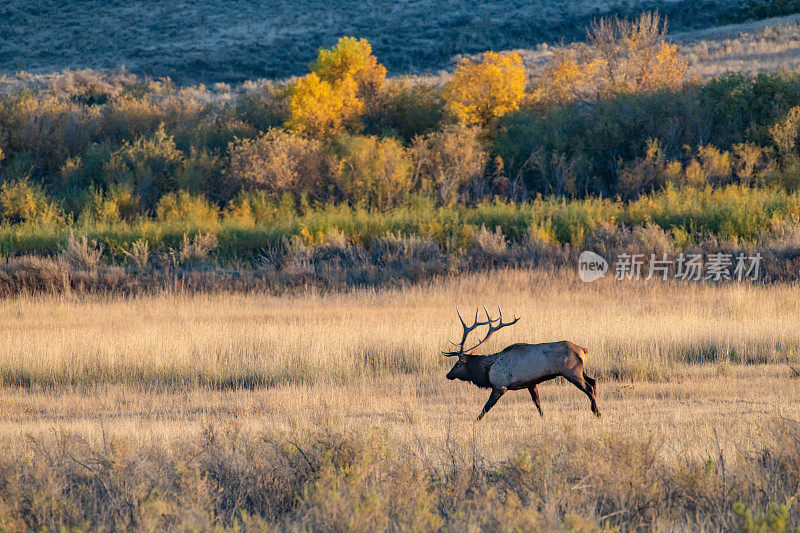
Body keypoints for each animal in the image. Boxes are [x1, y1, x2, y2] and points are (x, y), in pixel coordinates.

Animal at [444, 308, 600, 420]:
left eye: (457, 364)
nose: (448, 375)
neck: (487, 371)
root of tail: (583, 350)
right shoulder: (531, 383)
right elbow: (537, 403)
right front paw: (543, 418)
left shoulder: (500, 385)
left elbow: (485, 408)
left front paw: (475, 421)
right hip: (581, 371)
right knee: (593, 381)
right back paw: (595, 409)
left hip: (572, 372)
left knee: (589, 388)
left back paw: (597, 413)